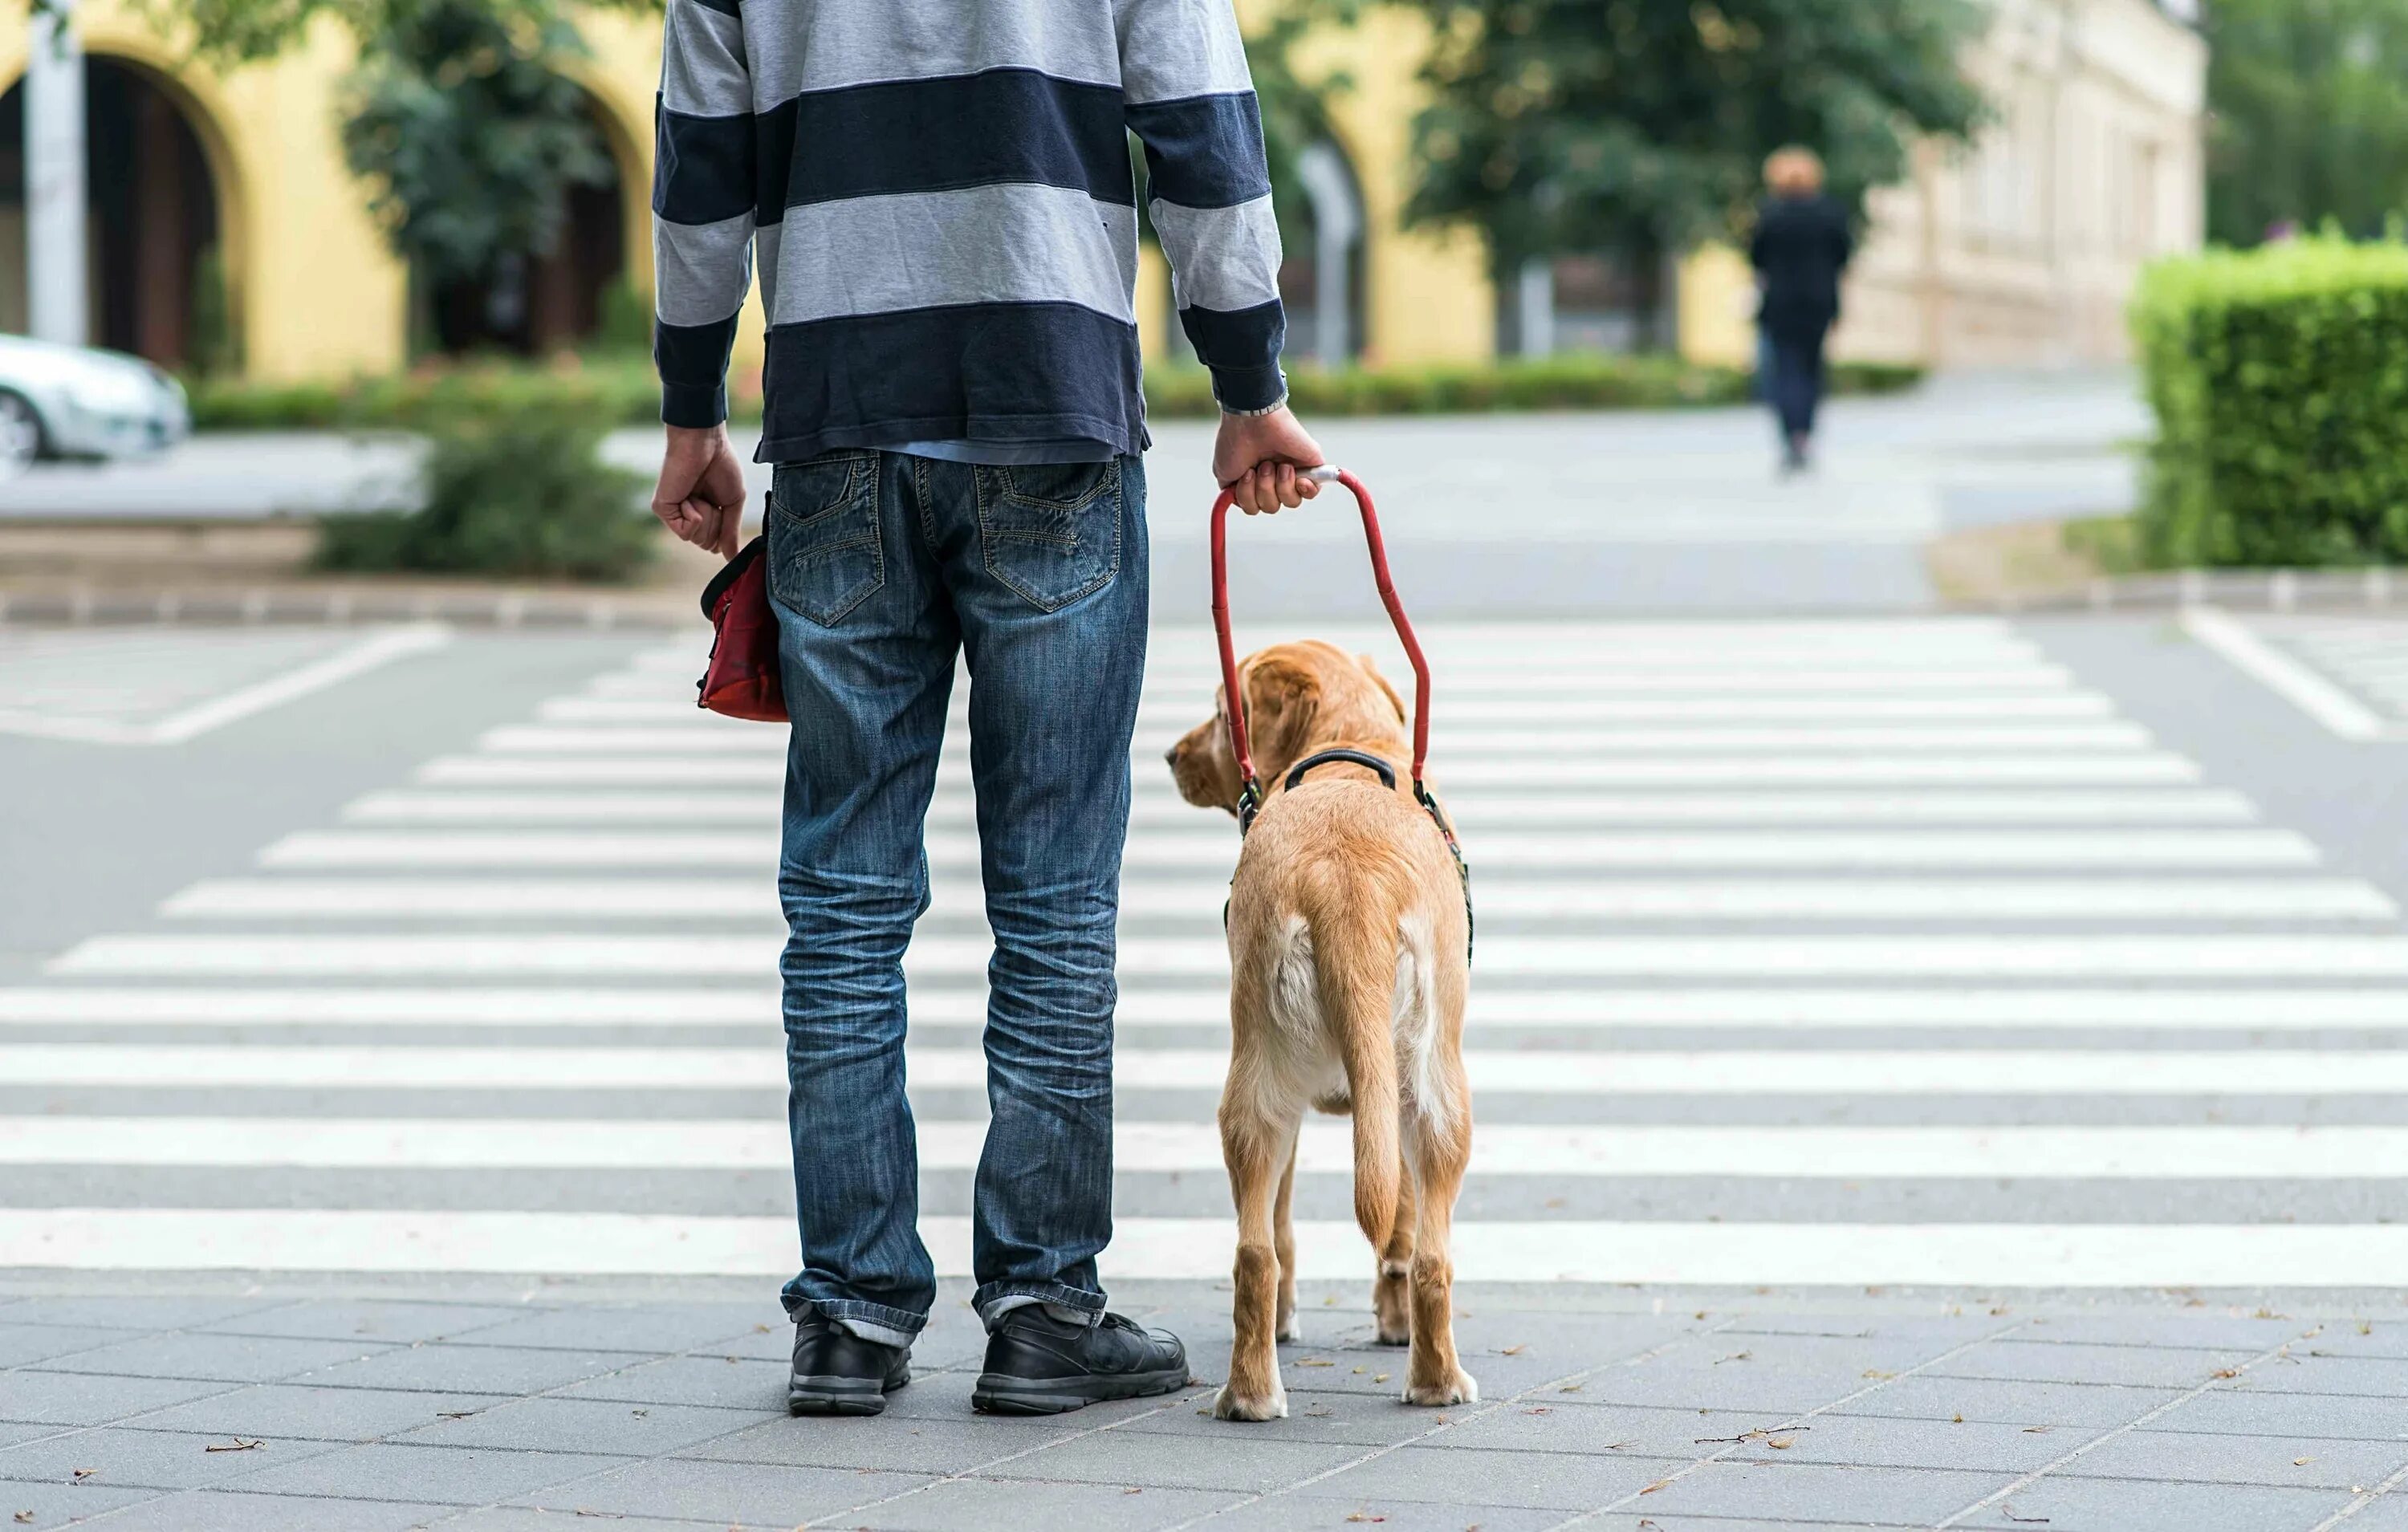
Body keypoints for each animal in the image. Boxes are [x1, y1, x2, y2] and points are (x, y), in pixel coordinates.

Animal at [1161, 640, 1474, 1416]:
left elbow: (1328, 1229)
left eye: (1223, 712)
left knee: (1263, 1253)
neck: (1347, 745)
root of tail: (1346, 880)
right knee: (1405, 1253)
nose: (1171, 755)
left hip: (1271, 1093)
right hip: (1426, 1089)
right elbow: (1391, 1220)